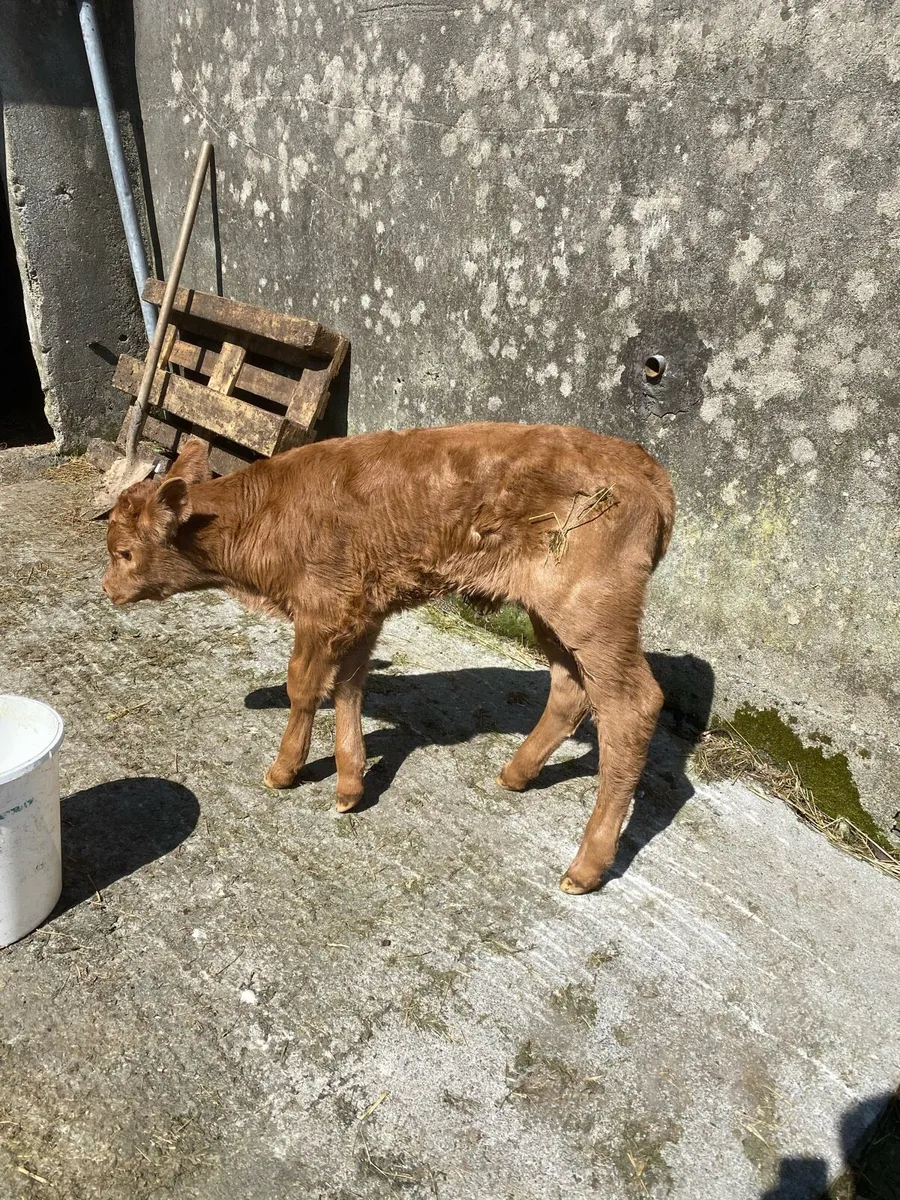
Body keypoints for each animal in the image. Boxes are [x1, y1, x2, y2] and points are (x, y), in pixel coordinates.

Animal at [102, 423, 675, 894]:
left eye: (125, 552)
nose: (107, 588)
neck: (267, 514)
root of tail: (644, 466)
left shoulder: (322, 607)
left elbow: (303, 685)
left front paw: (285, 771)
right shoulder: (364, 610)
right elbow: (348, 685)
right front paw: (350, 783)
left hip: (593, 611)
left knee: (633, 706)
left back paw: (587, 865)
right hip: (551, 617)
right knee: (570, 688)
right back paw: (517, 774)